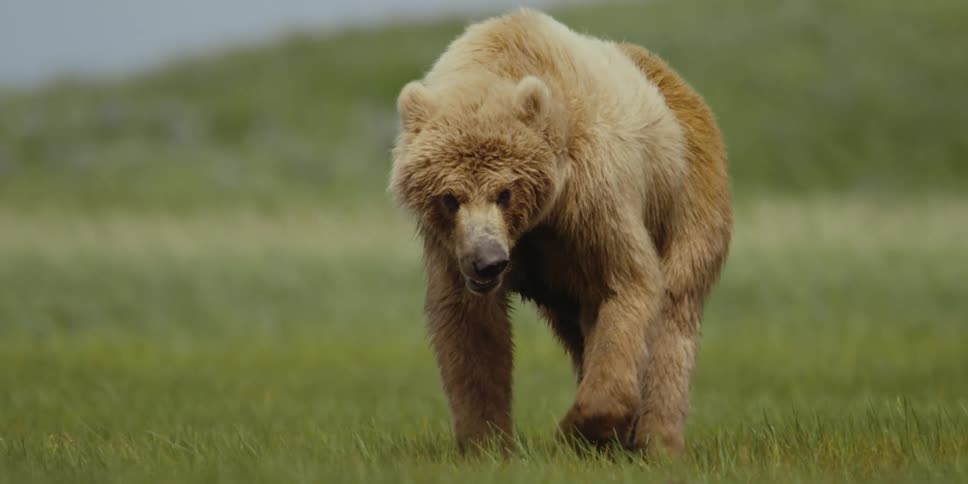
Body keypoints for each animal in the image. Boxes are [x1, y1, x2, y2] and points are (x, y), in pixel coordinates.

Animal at [389, 8, 732, 457]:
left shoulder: (592, 200)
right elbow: (470, 329)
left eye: (505, 192)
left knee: (674, 315)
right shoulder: (454, 246)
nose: (488, 261)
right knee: (577, 327)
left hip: (687, 195)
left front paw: (576, 429)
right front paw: (488, 444)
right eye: (449, 197)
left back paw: (656, 441)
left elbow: (629, 284)